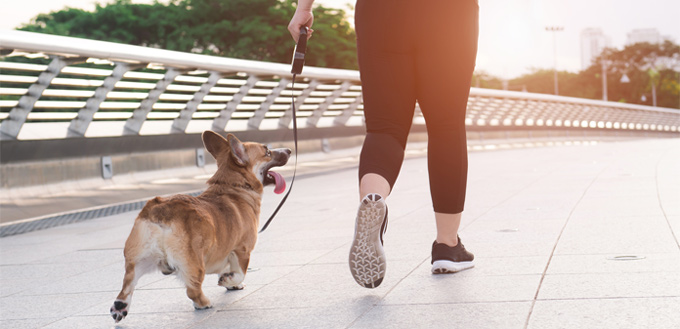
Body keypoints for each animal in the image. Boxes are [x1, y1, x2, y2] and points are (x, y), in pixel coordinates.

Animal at [109, 130, 290, 320]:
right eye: (267, 152)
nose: (289, 150)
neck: (234, 185)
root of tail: (161, 211)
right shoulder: (242, 249)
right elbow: (240, 272)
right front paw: (229, 280)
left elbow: (226, 268)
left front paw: (230, 282)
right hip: (195, 263)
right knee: (192, 290)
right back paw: (204, 303)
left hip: (138, 259)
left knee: (126, 287)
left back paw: (120, 308)